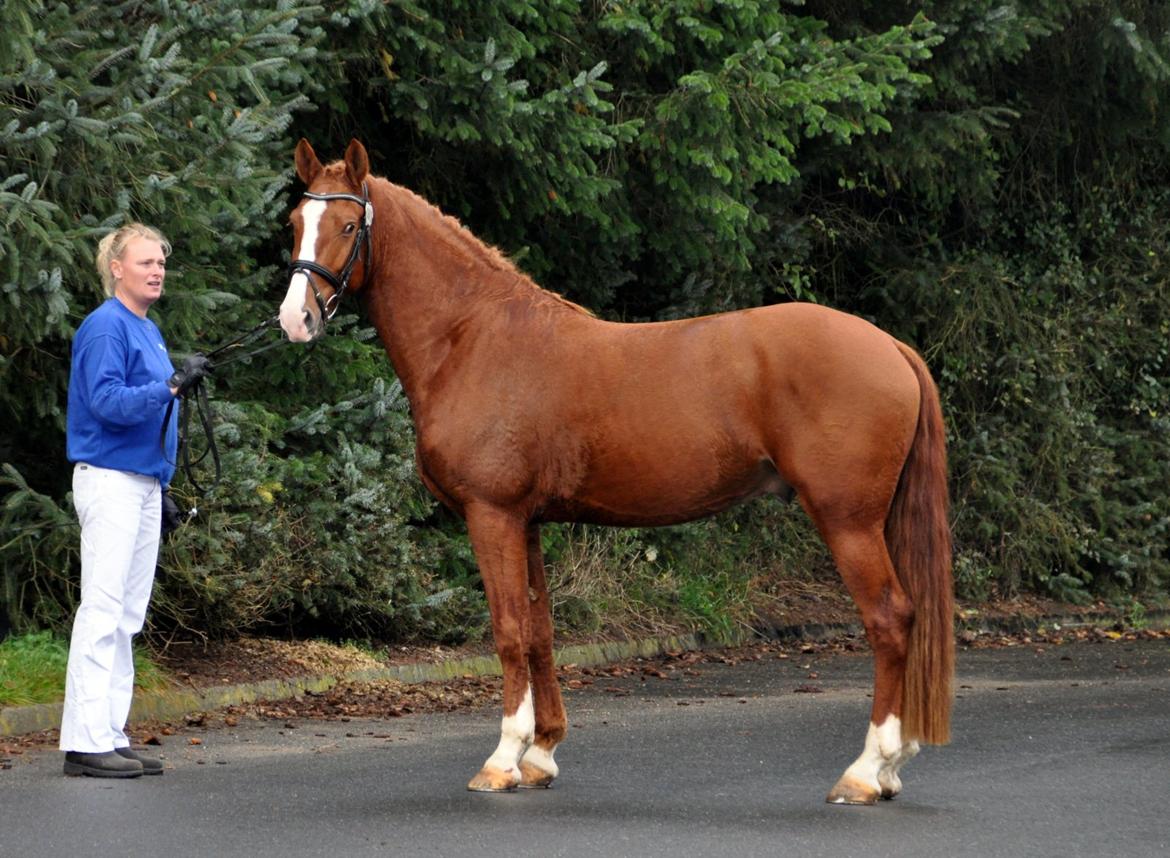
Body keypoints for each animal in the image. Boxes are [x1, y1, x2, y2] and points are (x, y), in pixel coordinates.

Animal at [278, 138, 954, 805]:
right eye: (294, 223)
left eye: (346, 226)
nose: (295, 319)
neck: (472, 337)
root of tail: (891, 346)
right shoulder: (527, 521)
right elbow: (540, 632)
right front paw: (540, 755)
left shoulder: (492, 515)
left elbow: (507, 630)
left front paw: (502, 760)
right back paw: (891, 768)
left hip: (848, 521)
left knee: (890, 620)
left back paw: (867, 771)